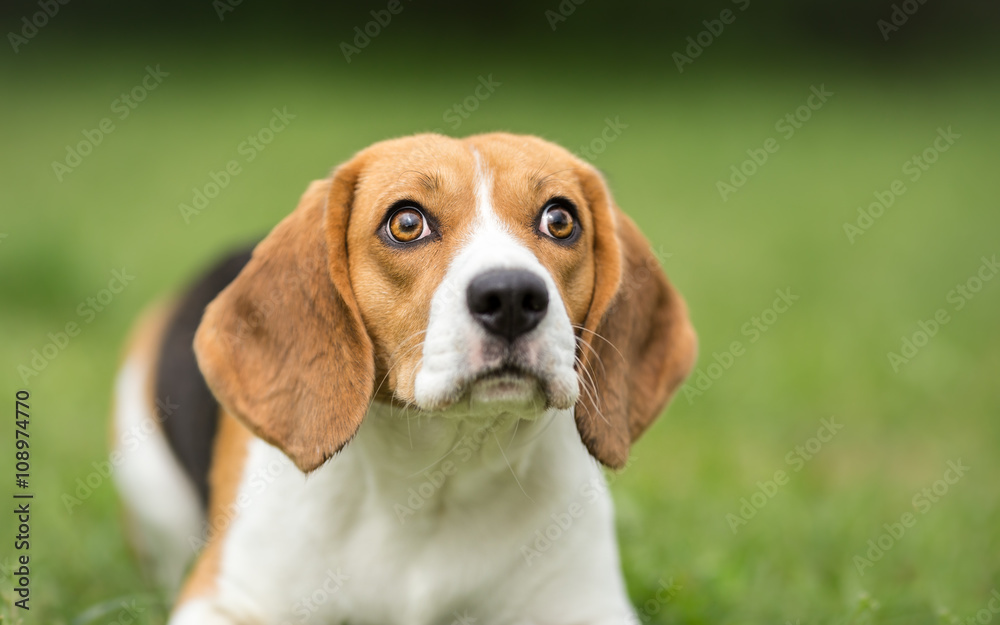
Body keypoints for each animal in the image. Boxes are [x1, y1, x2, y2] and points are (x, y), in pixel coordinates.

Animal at [111, 133, 696, 624]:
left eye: (560, 219)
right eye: (406, 223)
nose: (511, 296)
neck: (436, 479)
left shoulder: (589, 607)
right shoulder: (227, 600)